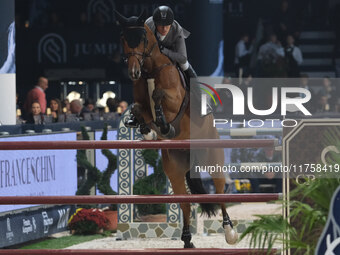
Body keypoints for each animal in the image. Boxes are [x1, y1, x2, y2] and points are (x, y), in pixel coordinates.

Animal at [115, 10, 238, 248]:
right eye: (124, 38)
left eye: (143, 39)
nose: (133, 72)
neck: (150, 69)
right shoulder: (140, 102)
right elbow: (138, 108)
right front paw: (148, 129)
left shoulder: (175, 100)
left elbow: (159, 95)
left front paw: (163, 125)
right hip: (175, 171)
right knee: (185, 203)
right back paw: (187, 239)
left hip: (213, 159)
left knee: (220, 192)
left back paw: (230, 232)